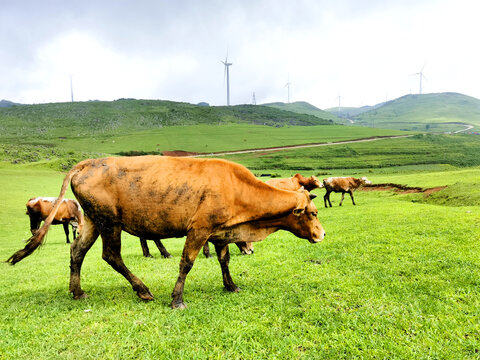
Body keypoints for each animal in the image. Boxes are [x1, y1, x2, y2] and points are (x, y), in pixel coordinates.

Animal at [7, 155, 324, 310]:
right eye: (313, 212)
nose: (321, 234)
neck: (237, 187)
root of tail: (88, 163)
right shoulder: (199, 230)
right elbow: (186, 264)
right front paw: (177, 300)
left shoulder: (220, 231)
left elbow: (225, 260)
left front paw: (231, 285)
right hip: (110, 223)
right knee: (112, 256)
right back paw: (142, 290)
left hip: (94, 221)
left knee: (77, 252)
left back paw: (77, 291)